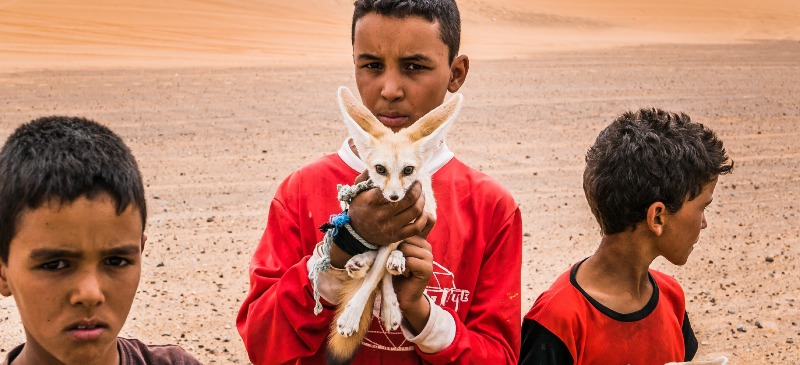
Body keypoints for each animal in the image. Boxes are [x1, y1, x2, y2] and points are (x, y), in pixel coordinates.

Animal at [324, 86, 462, 362]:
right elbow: (375, 275)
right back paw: (362, 263)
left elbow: (377, 276)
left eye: (408, 170)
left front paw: (352, 315)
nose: (395, 197)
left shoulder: (401, 229)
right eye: (380, 169)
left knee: (387, 267)